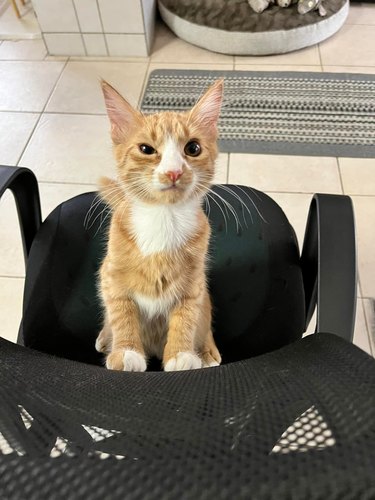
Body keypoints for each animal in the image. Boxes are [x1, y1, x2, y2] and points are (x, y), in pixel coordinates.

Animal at [95, 77, 223, 368]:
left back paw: (207, 351)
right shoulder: (111, 276)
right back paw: (106, 336)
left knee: (206, 319)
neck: (164, 219)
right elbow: (120, 311)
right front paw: (126, 351)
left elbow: (188, 316)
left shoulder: (194, 284)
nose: (174, 171)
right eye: (146, 149)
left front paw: (181, 354)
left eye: (193, 148)